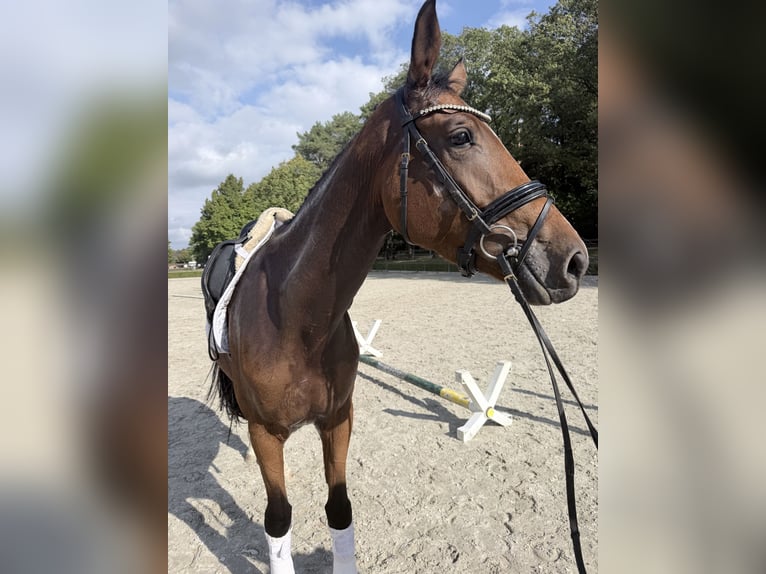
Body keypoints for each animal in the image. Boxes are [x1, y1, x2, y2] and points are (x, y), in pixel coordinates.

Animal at [210, 1, 588, 572]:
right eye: (460, 136)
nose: (574, 260)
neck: (294, 318)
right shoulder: (265, 434)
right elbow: (278, 519)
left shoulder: (338, 419)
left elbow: (339, 509)